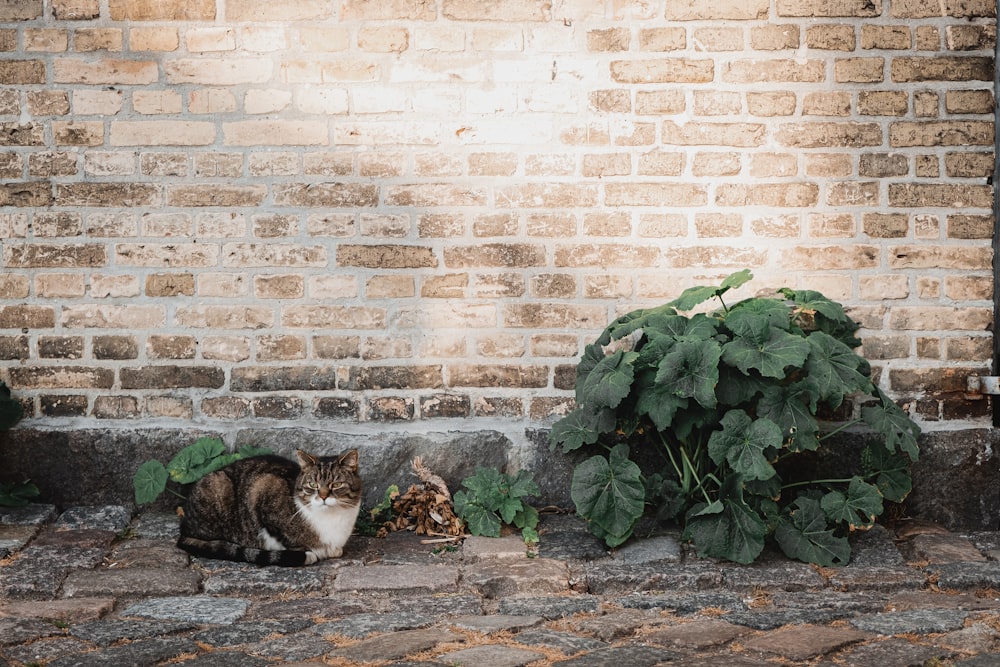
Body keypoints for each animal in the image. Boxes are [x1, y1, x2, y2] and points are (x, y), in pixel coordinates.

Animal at [178, 448, 362, 568]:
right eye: (313, 485)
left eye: (336, 485)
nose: (323, 496)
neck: (331, 518)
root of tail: (184, 527)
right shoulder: (263, 487)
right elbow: (287, 539)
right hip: (218, 486)